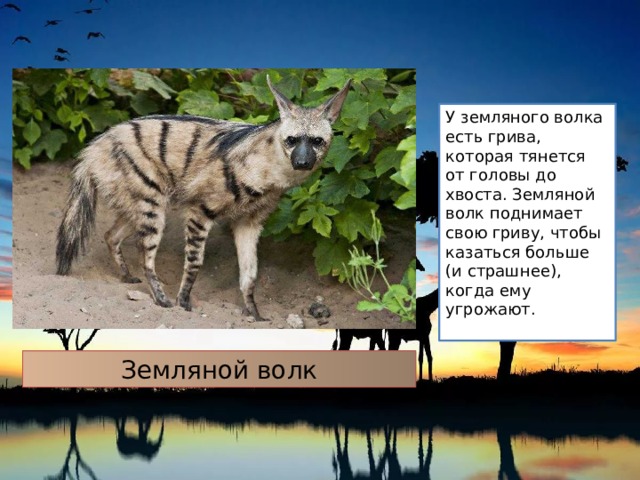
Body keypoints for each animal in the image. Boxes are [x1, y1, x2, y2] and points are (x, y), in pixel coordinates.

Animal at [56, 74, 351, 321]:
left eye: (316, 141)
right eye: (291, 139)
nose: (302, 162)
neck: (269, 174)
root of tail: (94, 147)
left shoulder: (250, 222)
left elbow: (250, 273)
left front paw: (255, 315)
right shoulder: (201, 209)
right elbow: (195, 262)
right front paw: (183, 303)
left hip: (139, 201)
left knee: (111, 235)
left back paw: (127, 277)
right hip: (152, 205)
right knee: (144, 252)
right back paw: (161, 299)